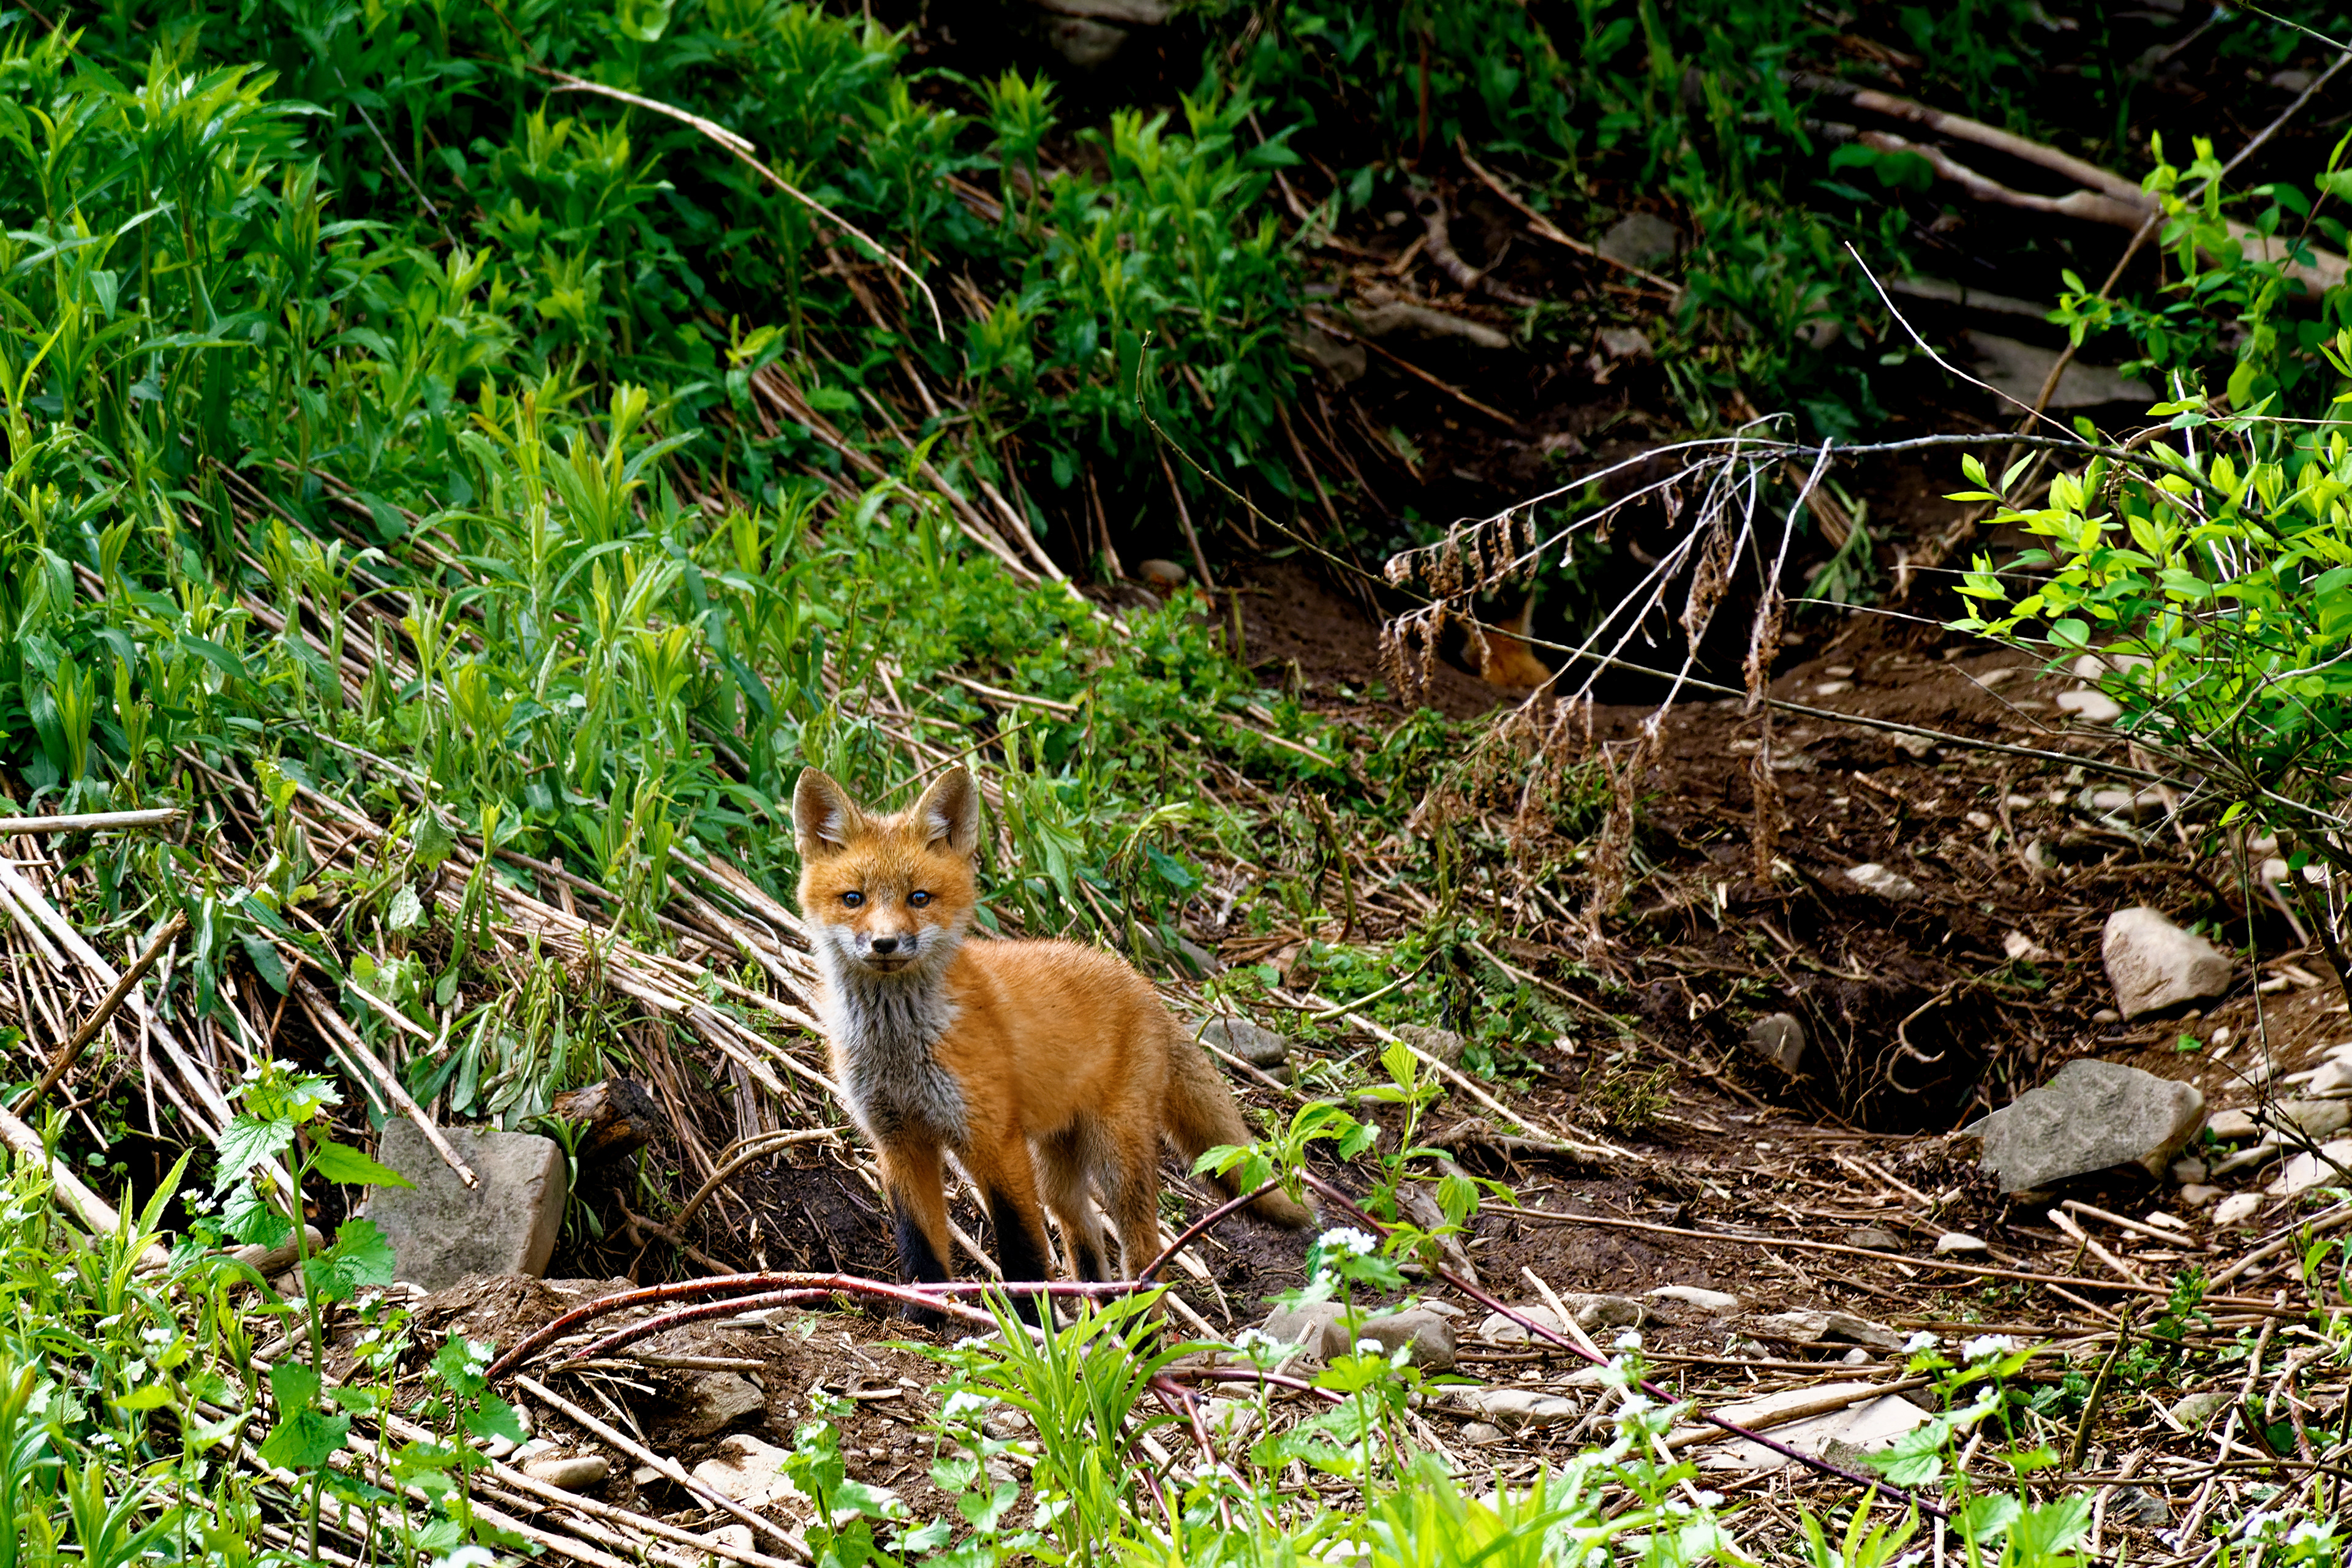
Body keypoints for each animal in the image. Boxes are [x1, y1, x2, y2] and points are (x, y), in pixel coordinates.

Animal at [792, 763, 1313, 1324]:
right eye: (853, 899)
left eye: (919, 898)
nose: (885, 944)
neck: (900, 1049)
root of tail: (1142, 983)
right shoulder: (897, 1142)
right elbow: (920, 1243)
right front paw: (924, 1317)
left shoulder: (994, 1142)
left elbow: (1021, 1250)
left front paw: (1026, 1326)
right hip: (1057, 1170)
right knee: (1085, 1240)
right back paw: (1098, 1320)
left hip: (1115, 1159)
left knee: (1144, 1252)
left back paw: (1139, 1327)